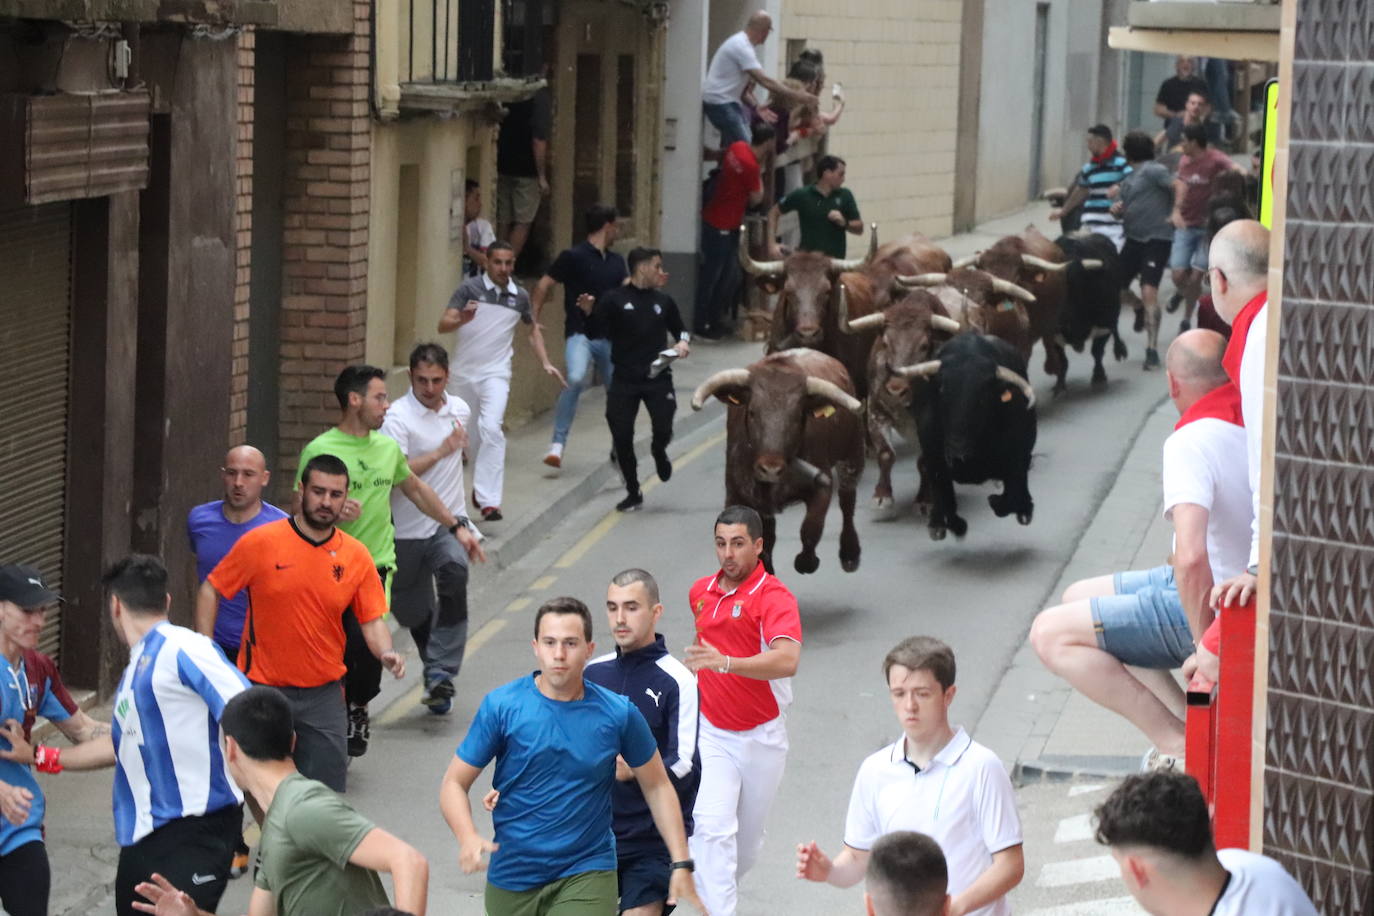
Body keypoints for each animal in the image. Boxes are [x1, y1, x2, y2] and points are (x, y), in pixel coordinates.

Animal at [692, 348, 862, 574]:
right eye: (752, 412)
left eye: (798, 416)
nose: (770, 469)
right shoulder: (737, 494)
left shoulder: (822, 486)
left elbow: (811, 528)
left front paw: (806, 561)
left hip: (852, 455)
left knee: (847, 501)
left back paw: (850, 554)